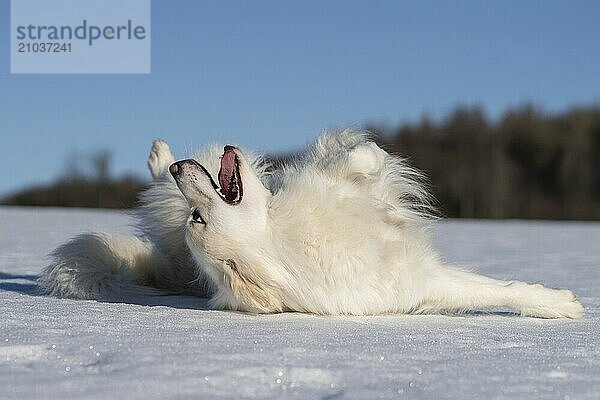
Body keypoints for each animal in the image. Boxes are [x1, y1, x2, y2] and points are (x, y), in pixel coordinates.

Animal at [39, 131, 584, 318]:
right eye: (201, 218)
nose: (179, 172)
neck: (282, 233)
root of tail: (173, 268)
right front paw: (567, 306)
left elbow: (362, 157)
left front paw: (556, 304)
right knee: (161, 197)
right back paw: (161, 160)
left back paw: (161, 154)